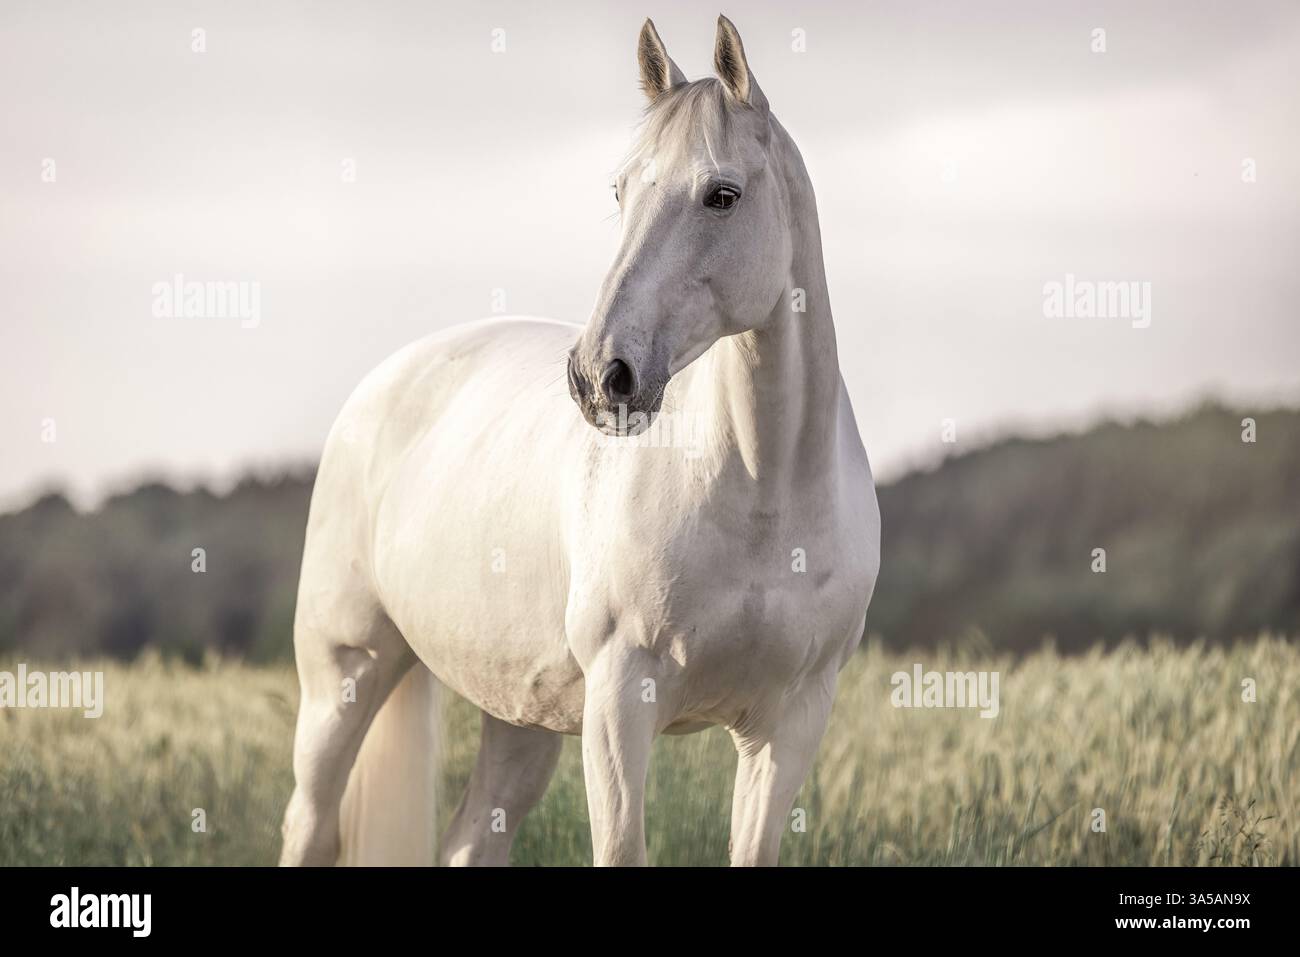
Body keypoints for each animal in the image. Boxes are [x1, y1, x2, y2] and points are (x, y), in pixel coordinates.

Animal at [279, 14, 880, 867]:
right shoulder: (620, 703)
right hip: (343, 676)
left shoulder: (789, 724)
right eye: (621, 191)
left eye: (722, 195)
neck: (764, 492)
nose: (602, 375)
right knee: (312, 823)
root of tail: (383, 382)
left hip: (518, 717)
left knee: (469, 841)